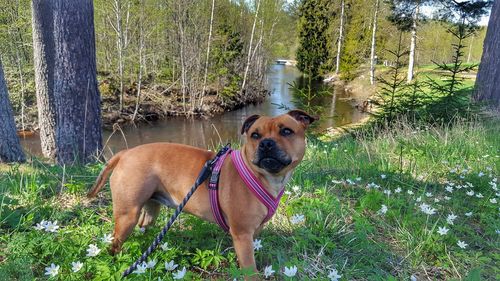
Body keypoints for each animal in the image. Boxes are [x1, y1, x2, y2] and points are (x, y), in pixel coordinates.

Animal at [88, 109, 316, 274]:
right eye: (255, 135)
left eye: (286, 131)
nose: (266, 143)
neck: (264, 177)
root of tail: (125, 153)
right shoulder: (242, 234)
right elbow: (250, 270)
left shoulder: (252, 233)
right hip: (127, 214)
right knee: (115, 243)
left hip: (150, 208)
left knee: (145, 227)